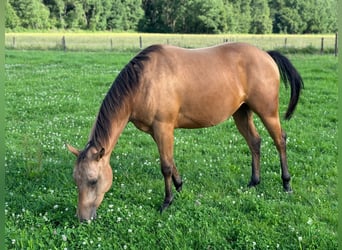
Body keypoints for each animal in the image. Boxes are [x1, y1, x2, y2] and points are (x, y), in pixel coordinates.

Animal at [65, 42, 304, 221]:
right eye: (76, 180)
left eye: (93, 181)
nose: (82, 218)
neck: (144, 81)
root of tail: (266, 55)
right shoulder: (156, 131)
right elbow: (170, 162)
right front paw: (179, 187)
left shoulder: (163, 127)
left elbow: (165, 166)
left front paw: (166, 202)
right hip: (242, 113)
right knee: (255, 142)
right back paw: (254, 182)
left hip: (267, 112)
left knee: (280, 140)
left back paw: (286, 184)